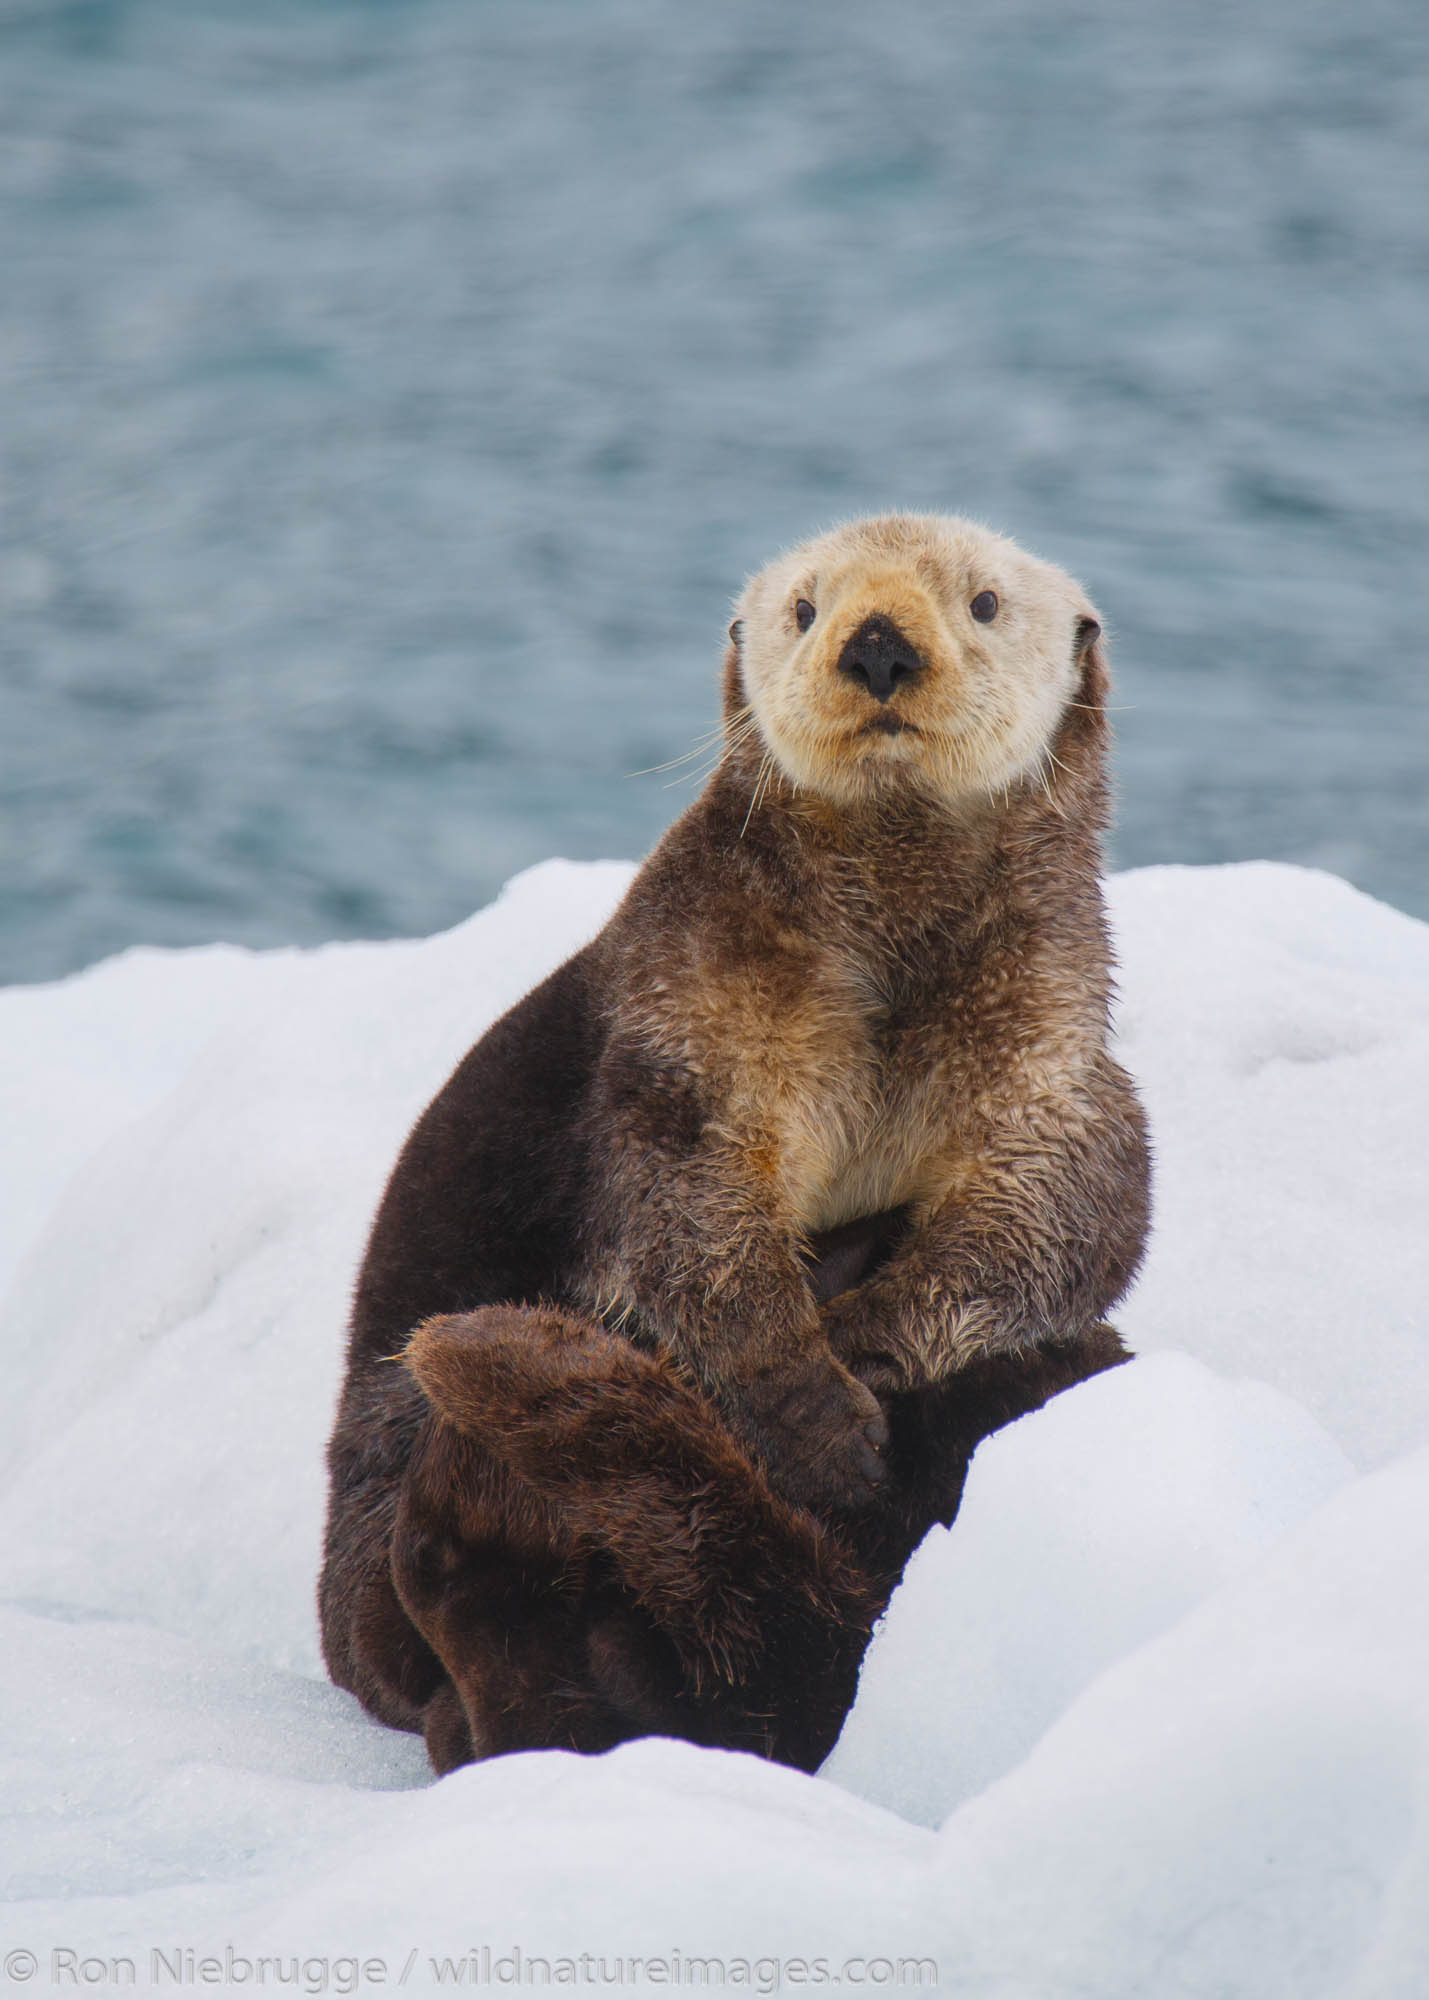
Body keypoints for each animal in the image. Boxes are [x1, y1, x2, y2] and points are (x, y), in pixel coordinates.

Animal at [320, 516, 1144, 1784]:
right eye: (805, 606)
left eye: (985, 602)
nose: (877, 643)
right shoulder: (692, 1009)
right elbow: (695, 1212)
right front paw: (824, 1414)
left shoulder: (1049, 1030)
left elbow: (1061, 1206)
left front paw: (866, 1338)